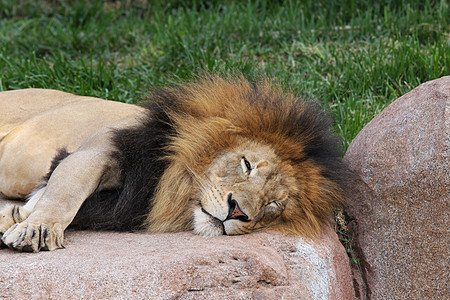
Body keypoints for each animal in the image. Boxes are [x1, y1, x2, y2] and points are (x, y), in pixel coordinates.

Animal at [0, 75, 344, 251]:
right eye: (247, 165)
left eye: (274, 205)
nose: (238, 212)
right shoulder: (99, 149)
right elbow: (65, 195)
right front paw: (37, 229)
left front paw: (16, 219)